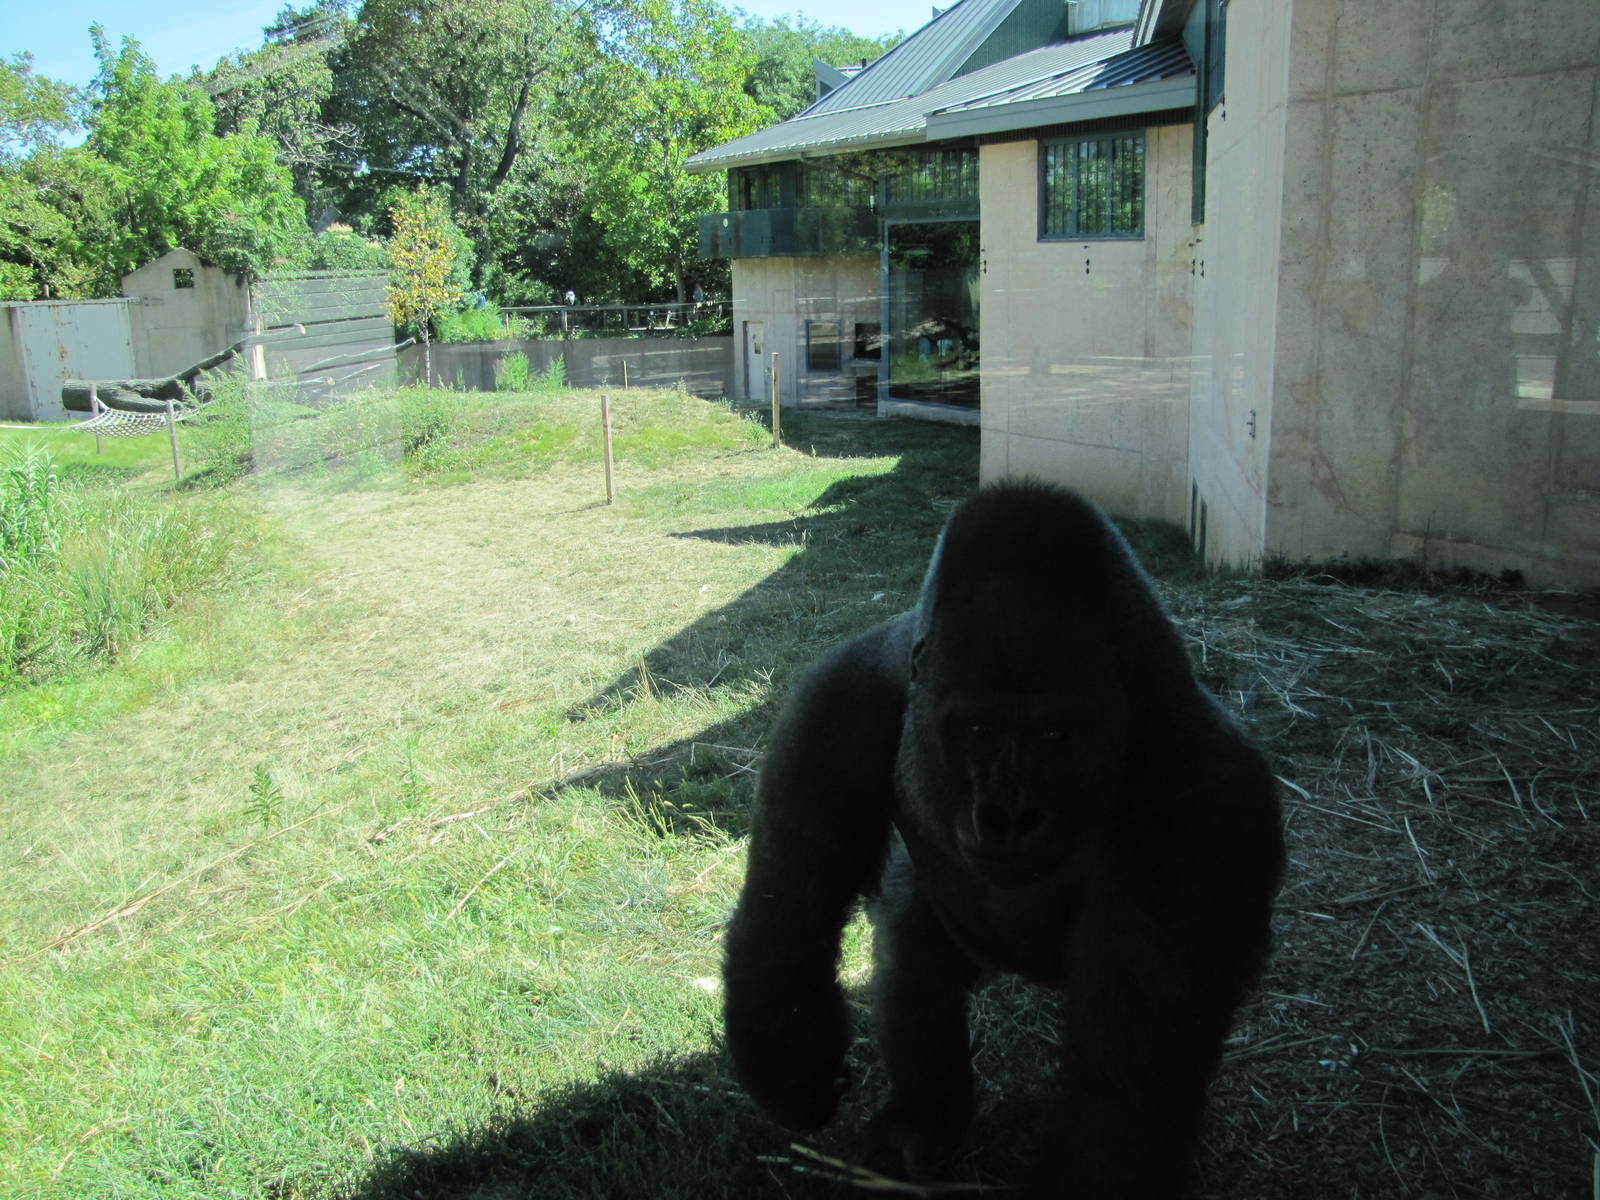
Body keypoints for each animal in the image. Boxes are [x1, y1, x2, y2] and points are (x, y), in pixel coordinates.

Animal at [722, 480, 1284, 1196]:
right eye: (978, 730)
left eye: (1054, 735)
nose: (1008, 814)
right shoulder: (837, 704)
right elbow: (789, 915)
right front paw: (794, 1072)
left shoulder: (1210, 805)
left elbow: (1123, 1096)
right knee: (912, 954)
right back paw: (925, 1115)